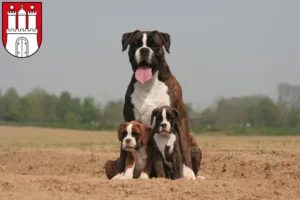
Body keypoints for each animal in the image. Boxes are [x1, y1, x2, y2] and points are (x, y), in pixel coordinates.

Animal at [119, 29, 202, 178]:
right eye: (135, 45)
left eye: (154, 45)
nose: (144, 50)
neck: (149, 83)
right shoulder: (129, 118)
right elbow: (125, 153)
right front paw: (121, 174)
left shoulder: (181, 118)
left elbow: (184, 148)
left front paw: (188, 174)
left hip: (196, 148)